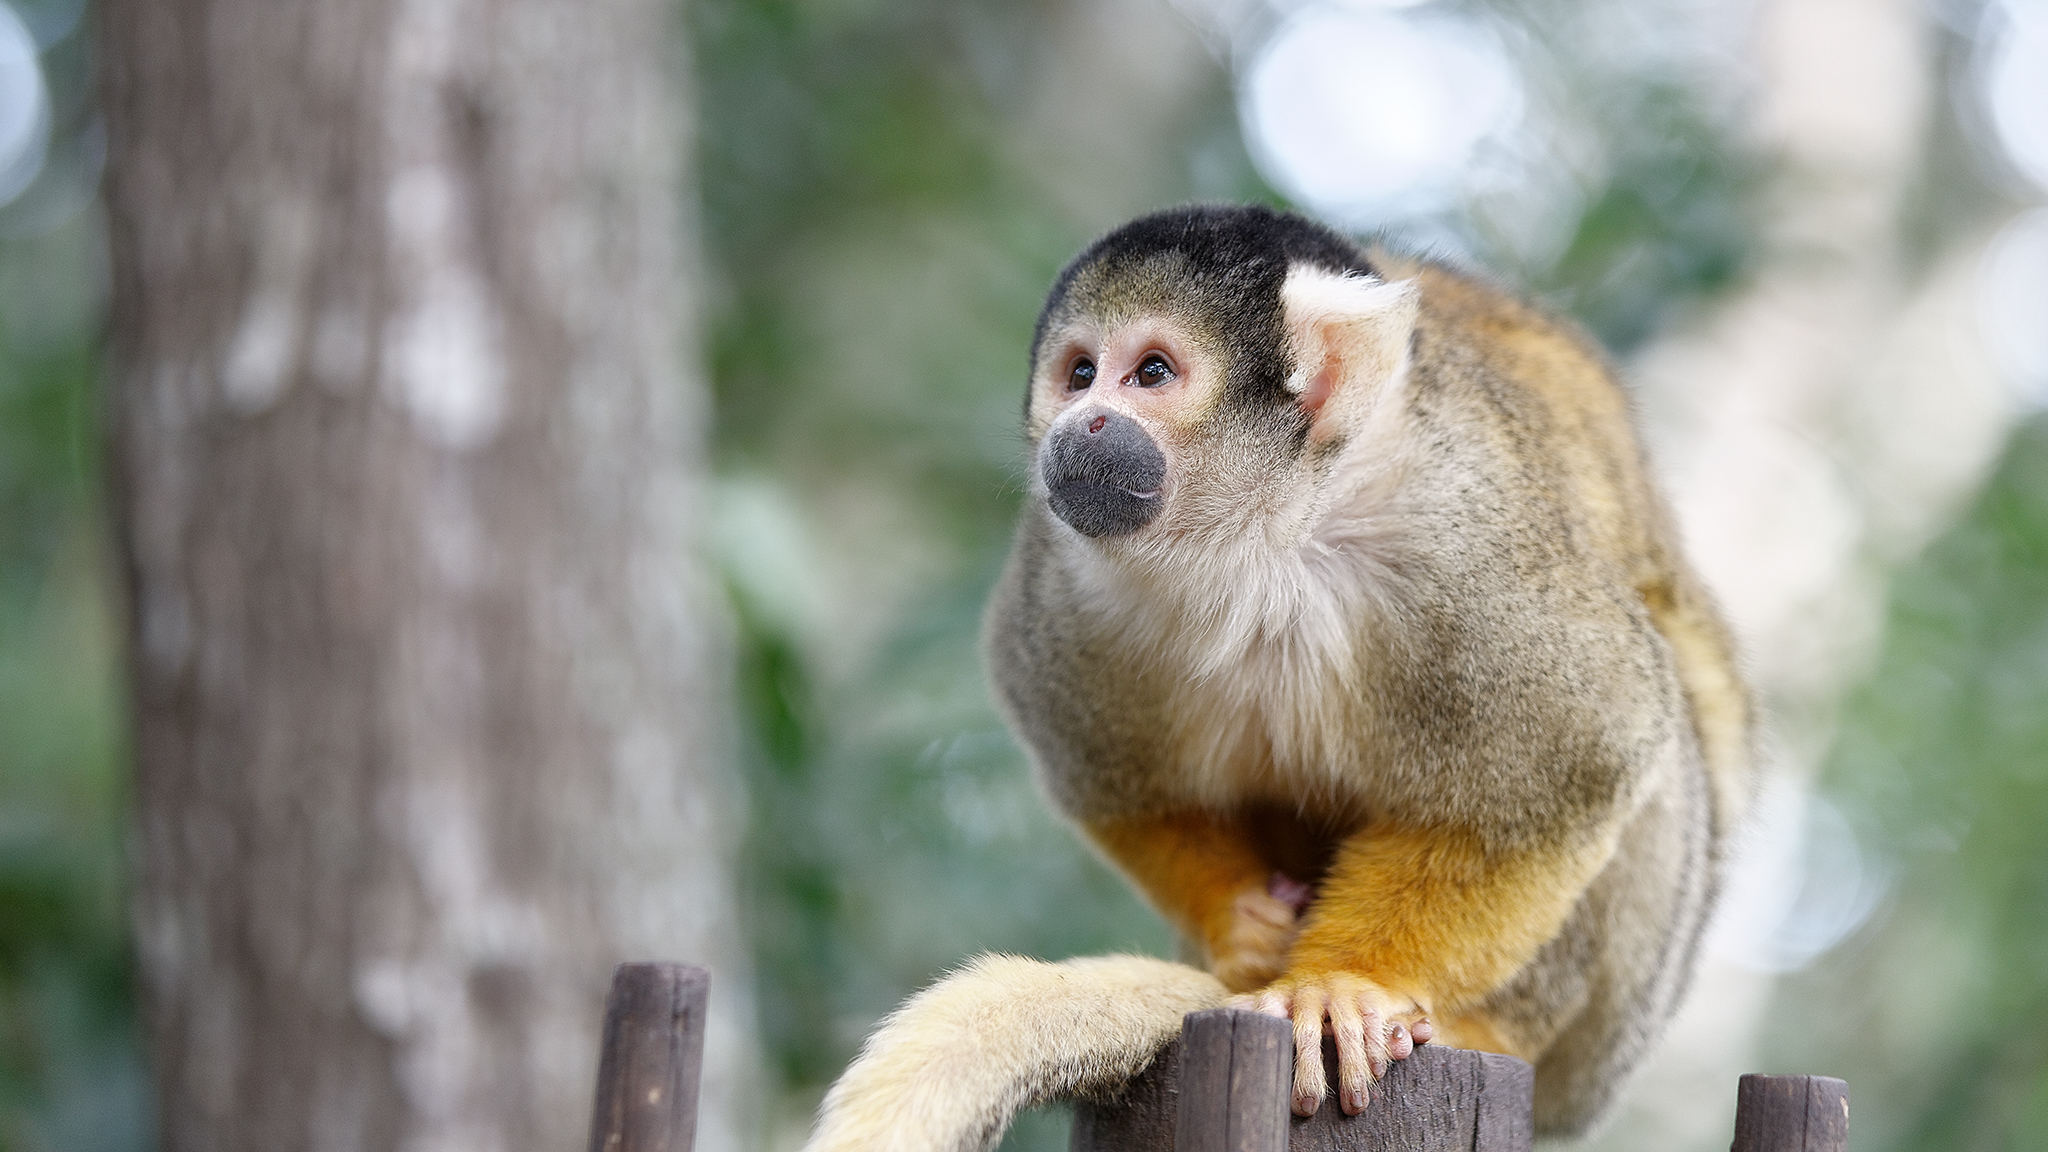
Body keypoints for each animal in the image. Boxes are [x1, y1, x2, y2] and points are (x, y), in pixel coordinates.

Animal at [803, 205, 1754, 1152]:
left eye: (1151, 372)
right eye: (1078, 374)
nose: (1085, 424)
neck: (1270, 532)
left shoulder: (1467, 534)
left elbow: (1570, 770)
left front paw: (1344, 984)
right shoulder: (1063, 574)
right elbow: (1118, 786)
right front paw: (1242, 924)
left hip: (1615, 1027)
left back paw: (1492, 1026)